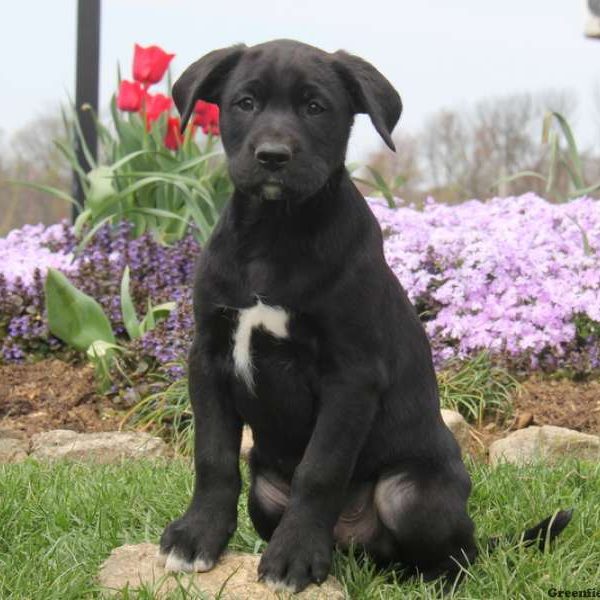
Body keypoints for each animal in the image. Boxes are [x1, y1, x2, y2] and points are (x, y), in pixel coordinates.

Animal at [157, 39, 568, 592]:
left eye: (315, 107)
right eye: (245, 103)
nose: (272, 156)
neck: (274, 231)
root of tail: (355, 541)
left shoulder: (350, 375)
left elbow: (320, 469)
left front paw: (292, 557)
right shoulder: (209, 355)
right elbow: (214, 456)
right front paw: (197, 535)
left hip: (412, 494)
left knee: (457, 552)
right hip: (265, 495)